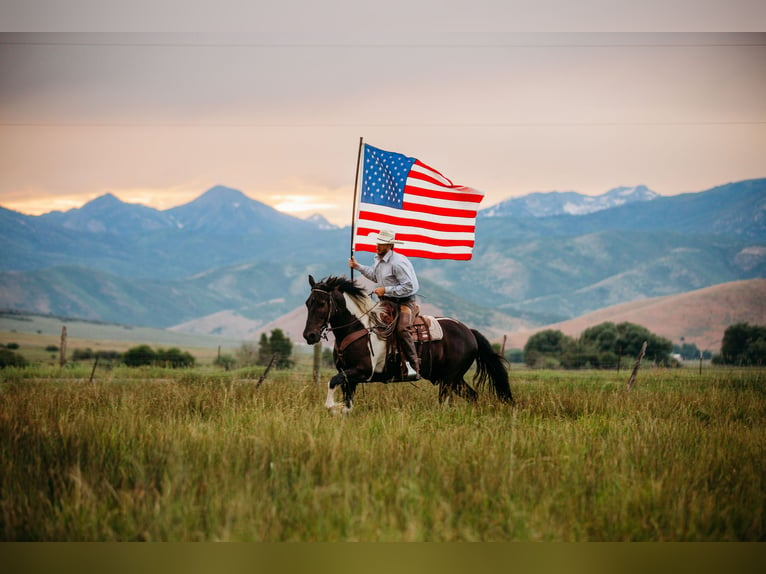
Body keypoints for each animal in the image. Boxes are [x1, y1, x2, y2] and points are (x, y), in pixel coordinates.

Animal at [304, 276, 512, 414]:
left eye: (322, 303)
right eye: (307, 303)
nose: (309, 335)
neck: (358, 327)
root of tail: (469, 331)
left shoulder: (362, 371)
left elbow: (332, 382)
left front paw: (332, 406)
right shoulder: (350, 377)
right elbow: (347, 403)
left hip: (449, 379)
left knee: (446, 402)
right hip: (454, 378)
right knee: (473, 396)